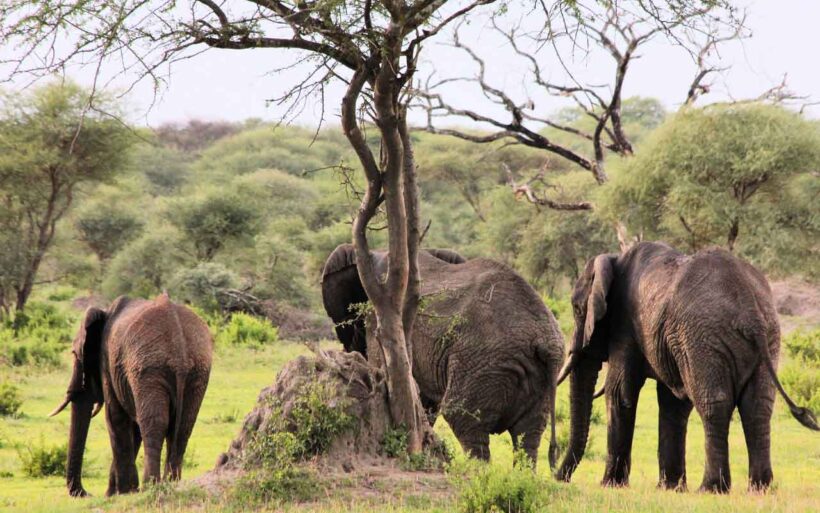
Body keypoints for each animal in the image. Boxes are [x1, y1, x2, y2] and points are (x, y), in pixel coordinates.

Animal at [48, 292, 213, 496]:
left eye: (74, 354)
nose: (86, 494)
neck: (104, 312)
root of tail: (180, 350)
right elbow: (132, 426)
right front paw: (116, 493)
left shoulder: (107, 362)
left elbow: (115, 418)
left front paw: (123, 493)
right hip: (197, 372)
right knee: (183, 426)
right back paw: (172, 484)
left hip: (148, 369)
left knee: (153, 424)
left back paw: (151, 486)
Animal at [320, 242, 564, 462]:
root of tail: (544, 340)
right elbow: (423, 400)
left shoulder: (381, 322)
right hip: (537, 376)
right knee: (528, 435)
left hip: (483, 362)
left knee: (464, 420)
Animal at [556, 240, 816, 492]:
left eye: (577, 309)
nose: (559, 477)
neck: (614, 260)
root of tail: (751, 310)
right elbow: (672, 402)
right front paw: (670, 488)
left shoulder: (625, 326)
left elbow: (620, 392)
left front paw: (611, 485)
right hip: (767, 337)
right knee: (757, 406)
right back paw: (759, 488)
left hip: (703, 339)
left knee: (713, 405)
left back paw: (710, 488)